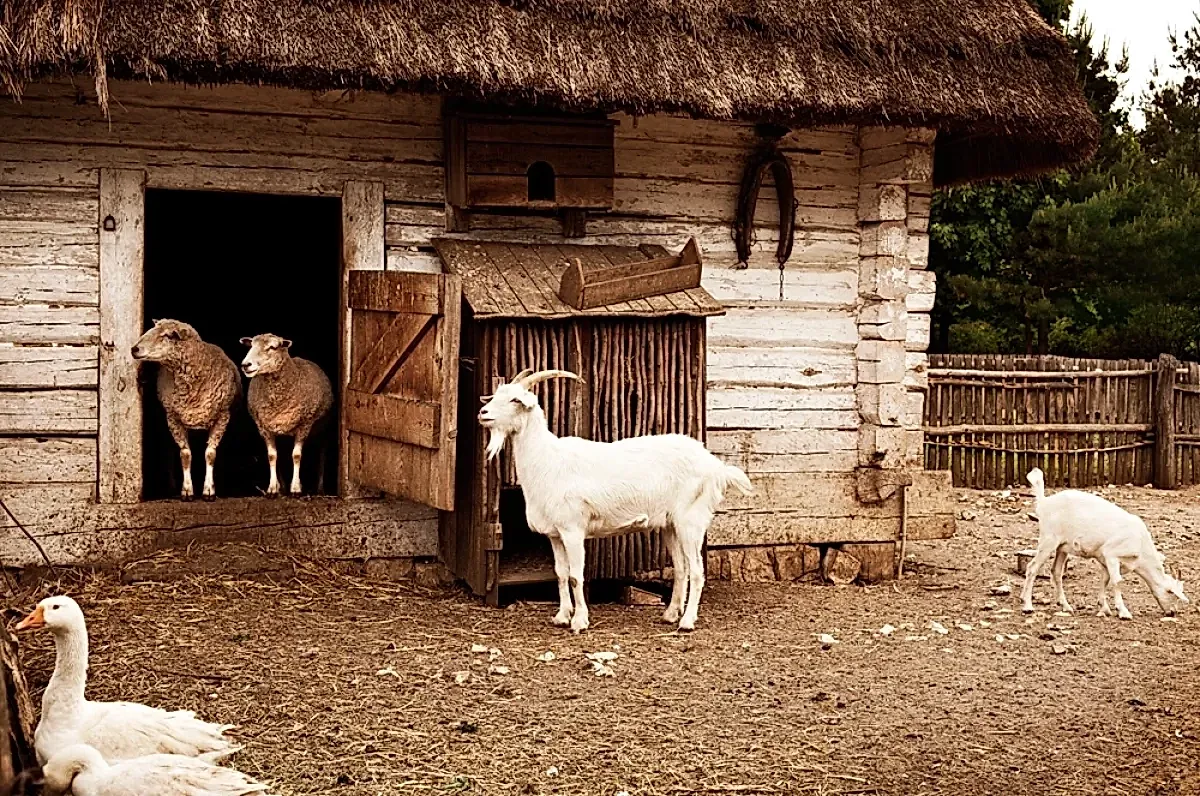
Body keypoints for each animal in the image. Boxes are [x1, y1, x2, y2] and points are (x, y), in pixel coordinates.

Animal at [131, 320, 241, 501]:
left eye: (167, 335)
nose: (134, 349)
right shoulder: (173, 419)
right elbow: (185, 455)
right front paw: (187, 490)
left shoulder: (222, 417)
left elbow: (210, 454)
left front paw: (209, 491)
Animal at [240, 333, 334, 498]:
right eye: (251, 345)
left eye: (272, 347)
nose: (246, 364)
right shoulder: (265, 428)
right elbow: (272, 456)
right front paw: (272, 488)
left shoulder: (304, 425)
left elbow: (296, 456)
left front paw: (296, 488)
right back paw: (282, 487)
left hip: (323, 429)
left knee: (322, 455)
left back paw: (320, 489)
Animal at [477, 368, 754, 633]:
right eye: (496, 394)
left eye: (515, 399)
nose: (483, 412)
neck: (547, 460)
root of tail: (714, 465)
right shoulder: (555, 534)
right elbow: (561, 574)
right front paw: (562, 616)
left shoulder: (573, 529)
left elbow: (576, 576)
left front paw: (580, 621)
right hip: (671, 524)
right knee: (681, 568)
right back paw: (670, 614)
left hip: (691, 520)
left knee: (696, 570)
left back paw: (686, 621)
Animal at [1020, 467, 1189, 619]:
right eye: (1172, 593)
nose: (1172, 612)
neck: (1140, 547)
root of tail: (1044, 503)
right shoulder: (1112, 555)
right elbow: (1117, 581)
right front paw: (1123, 612)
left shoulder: (1105, 560)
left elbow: (1105, 580)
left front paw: (1104, 608)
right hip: (1048, 540)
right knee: (1032, 567)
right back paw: (1028, 606)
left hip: (1062, 547)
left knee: (1056, 572)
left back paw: (1066, 606)